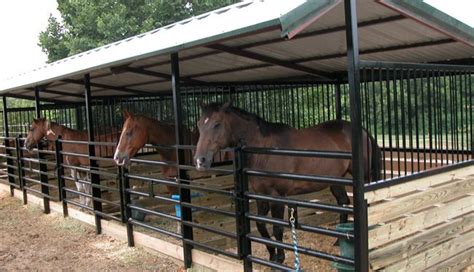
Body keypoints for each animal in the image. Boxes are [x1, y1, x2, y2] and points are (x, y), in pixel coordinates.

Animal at [193, 101, 382, 264]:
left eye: (217, 124)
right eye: (200, 124)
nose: (200, 161)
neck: (265, 150)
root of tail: (362, 131)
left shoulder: (277, 196)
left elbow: (277, 228)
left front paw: (280, 257)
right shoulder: (260, 195)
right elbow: (260, 224)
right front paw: (271, 255)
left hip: (364, 177)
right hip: (337, 179)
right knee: (343, 202)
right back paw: (337, 241)